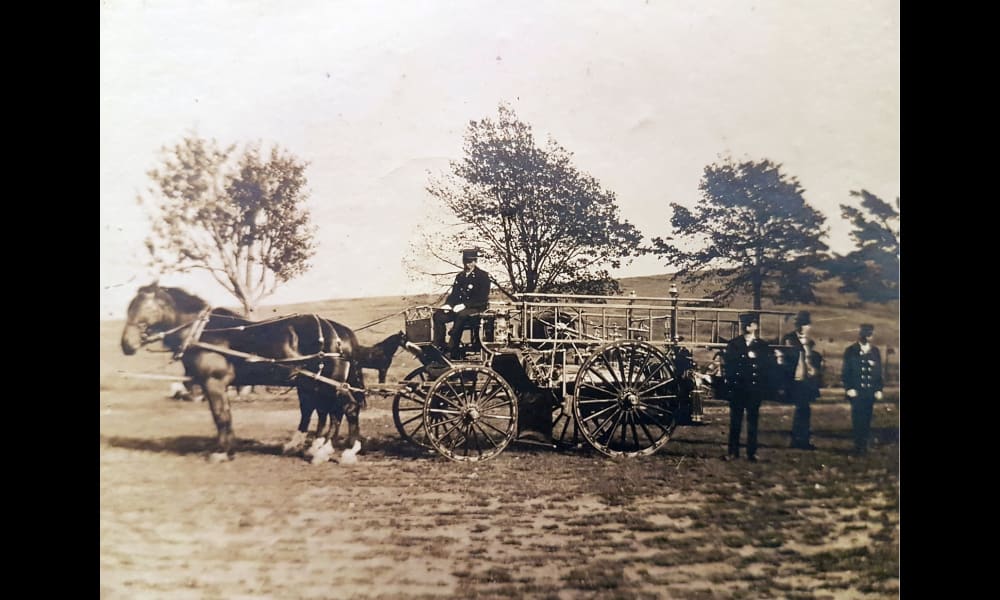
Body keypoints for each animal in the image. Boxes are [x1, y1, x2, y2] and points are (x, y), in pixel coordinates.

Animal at [119, 284, 366, 462]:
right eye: (129, 307)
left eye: (145, 307)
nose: (126, 345)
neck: (203, 333)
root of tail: (340, 332)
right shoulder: (218, 385)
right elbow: (226, 415)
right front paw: (229, 449)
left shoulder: (213, 382)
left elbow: (220, 416)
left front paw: (220, 452)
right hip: (314, 383)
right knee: (325, 411)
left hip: (330, 382)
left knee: (345, 409)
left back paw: (341, 451)